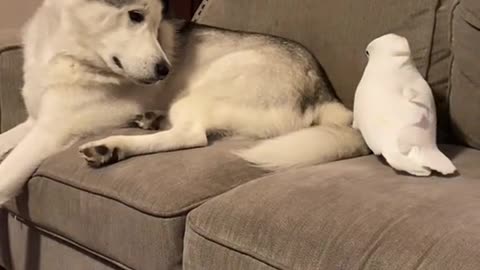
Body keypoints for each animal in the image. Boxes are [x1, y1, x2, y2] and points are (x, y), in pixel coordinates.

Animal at [0, 0, 370, 204]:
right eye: (135, 16)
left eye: (154, 20)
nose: (165, 70)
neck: (67, 53)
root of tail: (326, 92)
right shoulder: (34, 122)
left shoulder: (51, 131)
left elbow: (6, 173)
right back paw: (150, 120)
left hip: (200, 92)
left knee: (192, 135)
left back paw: (112, 147)